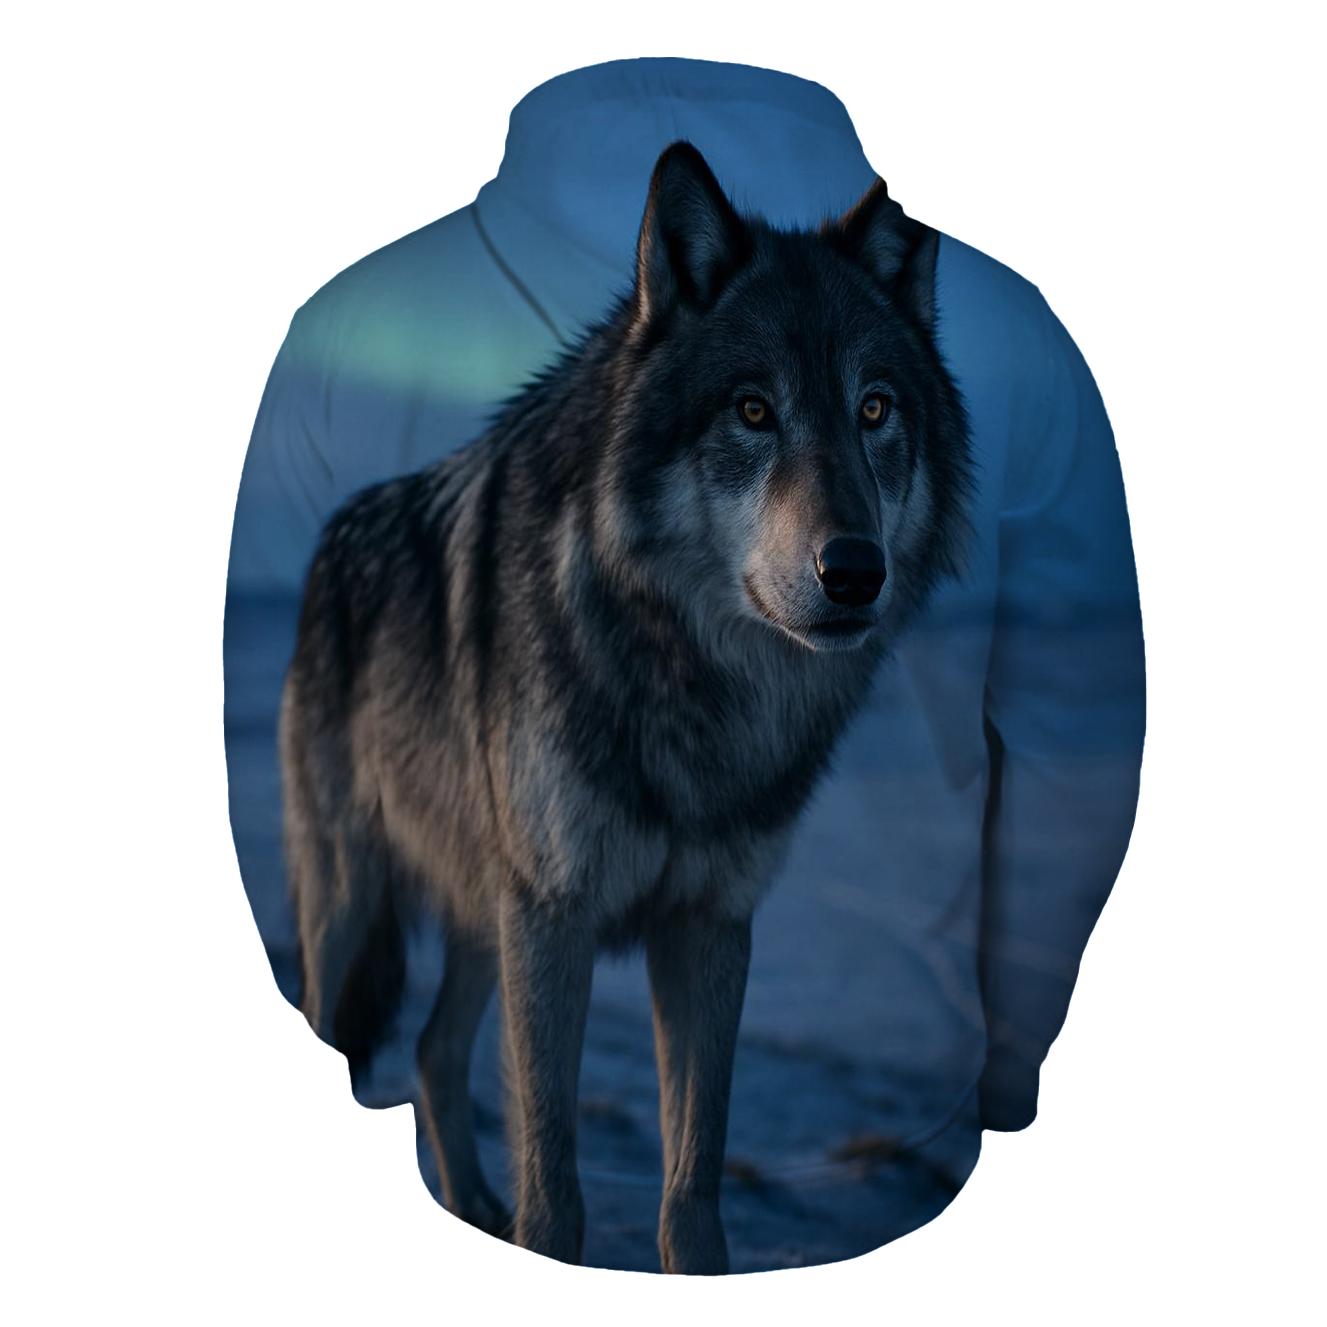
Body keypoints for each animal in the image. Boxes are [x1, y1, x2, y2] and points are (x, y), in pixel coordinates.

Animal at [279, 141, 972, 1273]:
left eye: (874, 409)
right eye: (751, 410)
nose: (854, 571)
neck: (690, 686)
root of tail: (328, 542)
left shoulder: (707, 924)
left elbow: (693, 1189)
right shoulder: (553, 917)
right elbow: (555, 1191)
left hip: (482, 911)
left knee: (430, 1051)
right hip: (357, 912)